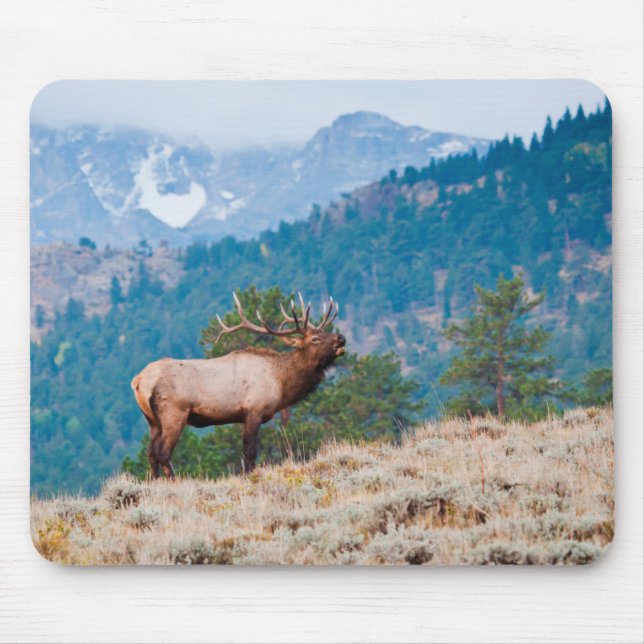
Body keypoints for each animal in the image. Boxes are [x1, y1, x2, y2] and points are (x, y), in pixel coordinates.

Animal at [131, 293, 346, 479]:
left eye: (324, 331)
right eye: (315, 339)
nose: (341, 338)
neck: (280, 383)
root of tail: (139, 380)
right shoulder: (254, 410)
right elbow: (249, 452)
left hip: (152, 420)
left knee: (150, 452)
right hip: (174, 413)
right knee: (162, 451)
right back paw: (175, 481)